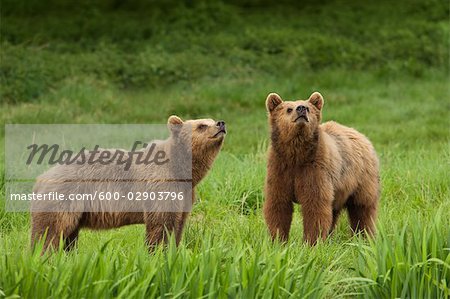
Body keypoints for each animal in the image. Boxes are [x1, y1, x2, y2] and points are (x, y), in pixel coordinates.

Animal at [30, 116, 227, 252]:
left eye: (210, 120)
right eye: (201, 125)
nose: (221, 123)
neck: (182, 170)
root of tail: (41, 178)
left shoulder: (185, 194)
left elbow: (178, 226)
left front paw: (173, 251)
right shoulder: (161, 185)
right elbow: (160, 226)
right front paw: (158, 253)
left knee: (68, 236)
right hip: (64, 199)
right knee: (49, 233)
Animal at [264, 92, 380, 246]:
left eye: (308, 107)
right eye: (288, 109)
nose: (301, 109)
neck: (296, 155)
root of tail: (362, 136)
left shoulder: (315, 169)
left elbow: (315, 206)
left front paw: (311, 242)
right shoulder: (280, 168)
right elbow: (279, 205)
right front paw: (277, 240)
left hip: (362, 179)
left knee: (362, 209)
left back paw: (364, 237)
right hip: (339, 189)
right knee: (334, 211)